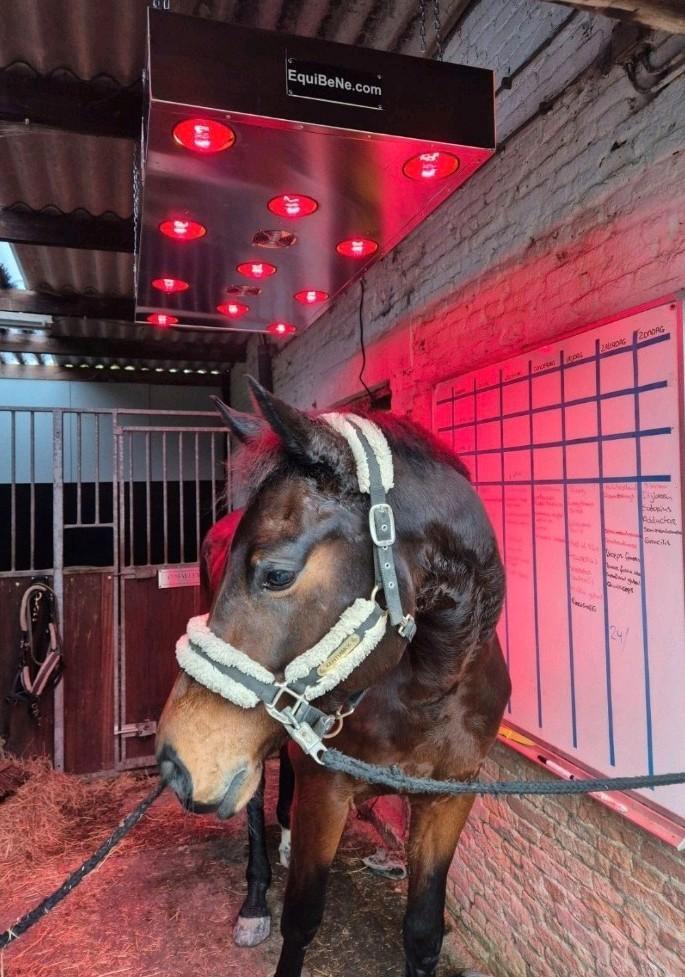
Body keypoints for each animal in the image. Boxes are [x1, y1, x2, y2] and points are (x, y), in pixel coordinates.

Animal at [157, 380, 511, 977]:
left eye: (277, 574)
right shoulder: (328, 789)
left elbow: (423, 934)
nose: (173, 762)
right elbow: (301, 920)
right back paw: (255, 899)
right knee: (257, 800)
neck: (429, 689)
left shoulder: (449, 797)